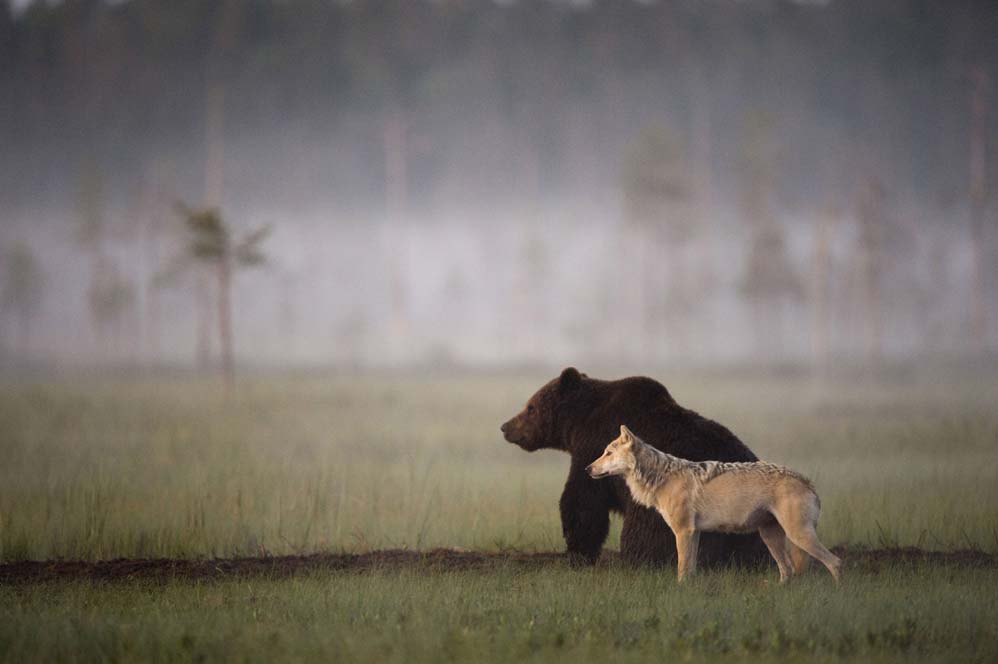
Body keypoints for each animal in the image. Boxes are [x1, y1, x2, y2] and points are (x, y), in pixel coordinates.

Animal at [504, 368, 768, 564]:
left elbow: (583, 501)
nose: (506, 426)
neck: (579, 423)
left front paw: (577, 551)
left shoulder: (592, 448)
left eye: (530, 407)